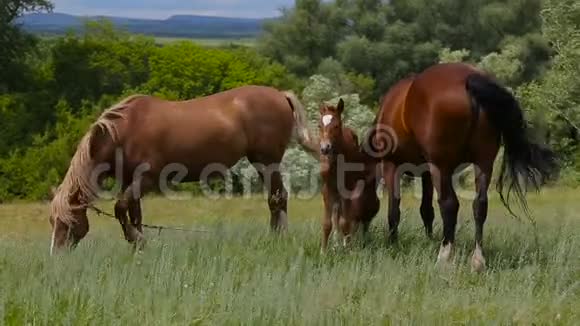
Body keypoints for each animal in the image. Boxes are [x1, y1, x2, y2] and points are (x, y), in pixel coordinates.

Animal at [49, 85, 318, 253]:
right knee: (276, 199)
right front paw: (138, 247)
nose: (57, 256)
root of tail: (281, 95)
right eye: (52, 221)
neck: (125, 131)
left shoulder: (146, 179)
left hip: (266, 160)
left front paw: (137, 241)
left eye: (67, 221)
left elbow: (120, 208)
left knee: (277, 198)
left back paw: (277, 239)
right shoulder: (130, 182)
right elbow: (134, 215)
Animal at [318, 98, 380, 251]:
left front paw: (347, 249)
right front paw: (323, 251)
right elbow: (327, 223)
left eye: (336, 126)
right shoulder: (327, 190)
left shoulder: (347, 191)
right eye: (319, 126)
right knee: (336, 215)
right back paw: (336, 244)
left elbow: (345, 222)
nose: (325, 148)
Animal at [368, 62, 556, 272]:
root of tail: (468, 79)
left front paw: (393, 244)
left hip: (441, 166)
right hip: (483, 162)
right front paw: (428, 240)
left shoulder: (393, 165)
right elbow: (426, 210)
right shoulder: (426, 172)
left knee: (449, 205)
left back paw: (444, 257)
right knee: (480, 205)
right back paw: (477, 261)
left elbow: (394, 210)